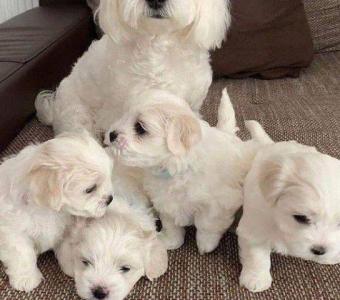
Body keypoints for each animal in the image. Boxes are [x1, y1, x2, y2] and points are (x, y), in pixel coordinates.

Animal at [0, 132, 114, 292]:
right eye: (90, 189)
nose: (110, 199)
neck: (47, 210)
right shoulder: (13, 231)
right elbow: (22, 253)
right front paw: (26, 278)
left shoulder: (68, 229)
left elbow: (67, 248)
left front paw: (73, 266)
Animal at [103, 89, 266, 255]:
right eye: (124, 116)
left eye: (140, 128)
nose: (111, 134)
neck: (177, 169)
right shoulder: (165, 202)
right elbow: (171, 225)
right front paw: (170, 241)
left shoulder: (218, 205)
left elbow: (206, 225)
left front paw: (205, 245)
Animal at [238, 134, 340, 292]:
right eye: (301, 218)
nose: (319, 250)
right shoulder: (255, 226)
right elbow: (257, 255)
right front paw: (256, 278)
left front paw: (330, 257)